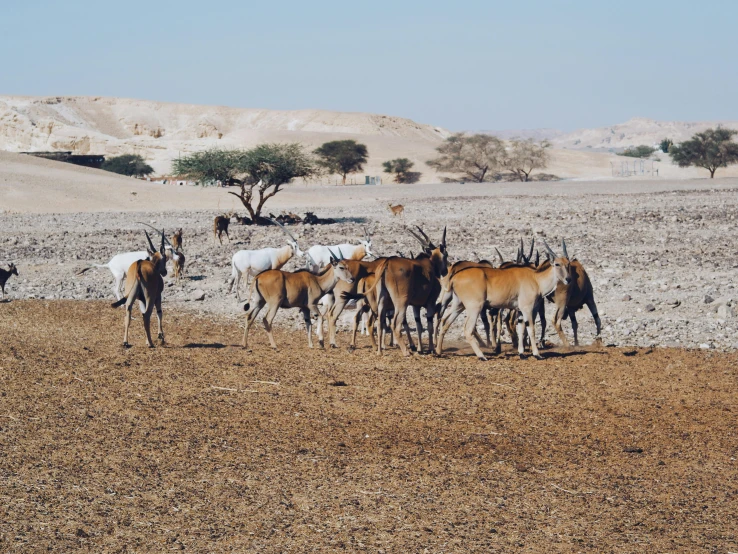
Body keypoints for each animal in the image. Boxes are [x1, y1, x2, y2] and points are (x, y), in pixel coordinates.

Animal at [434, 238, 572, 360]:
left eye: (568, 264)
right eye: (557, 264)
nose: (568, 279)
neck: (536, 279)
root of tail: (454, 277)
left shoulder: (520, 311)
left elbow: (521, 329)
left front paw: (521, 354)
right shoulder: (527, 309)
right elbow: (531, 329)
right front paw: (537, 354)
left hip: (459, 305)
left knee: (445, 322)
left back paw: (438, 352)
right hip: (475, 307)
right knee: (467, 330)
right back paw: (482, 356)